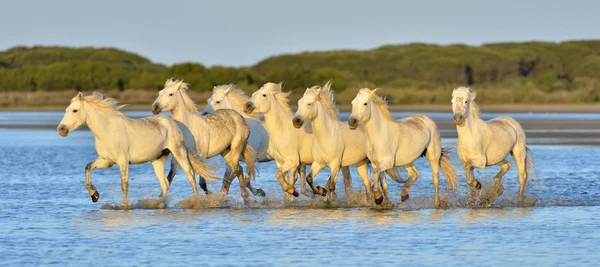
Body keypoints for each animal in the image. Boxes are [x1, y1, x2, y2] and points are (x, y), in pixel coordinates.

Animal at [56, 92, 218, 207]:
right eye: (66, 109)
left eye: (75, 110)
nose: (61, 130)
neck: (107, 131)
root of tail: (174, 123)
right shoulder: (106, 161)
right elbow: (88, 167)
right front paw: (94, 195)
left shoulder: (123, 162)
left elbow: (124, 185)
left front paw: (125, 206)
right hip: (158, 159)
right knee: (165, 183)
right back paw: (160, 204)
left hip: (179, 153)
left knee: (190, 175)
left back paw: (196, 202)